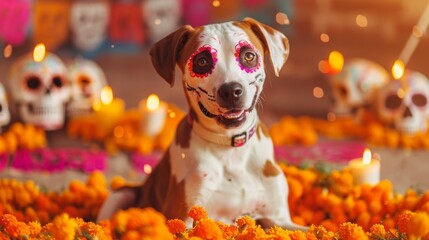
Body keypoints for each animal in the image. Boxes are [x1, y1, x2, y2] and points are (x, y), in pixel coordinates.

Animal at [98, 16, 304, 231]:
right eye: (202, 61)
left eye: (248, 56)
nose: (231, 91)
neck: (229, 149)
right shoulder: (182, 219)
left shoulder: (279, 220)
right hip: (120, 194)